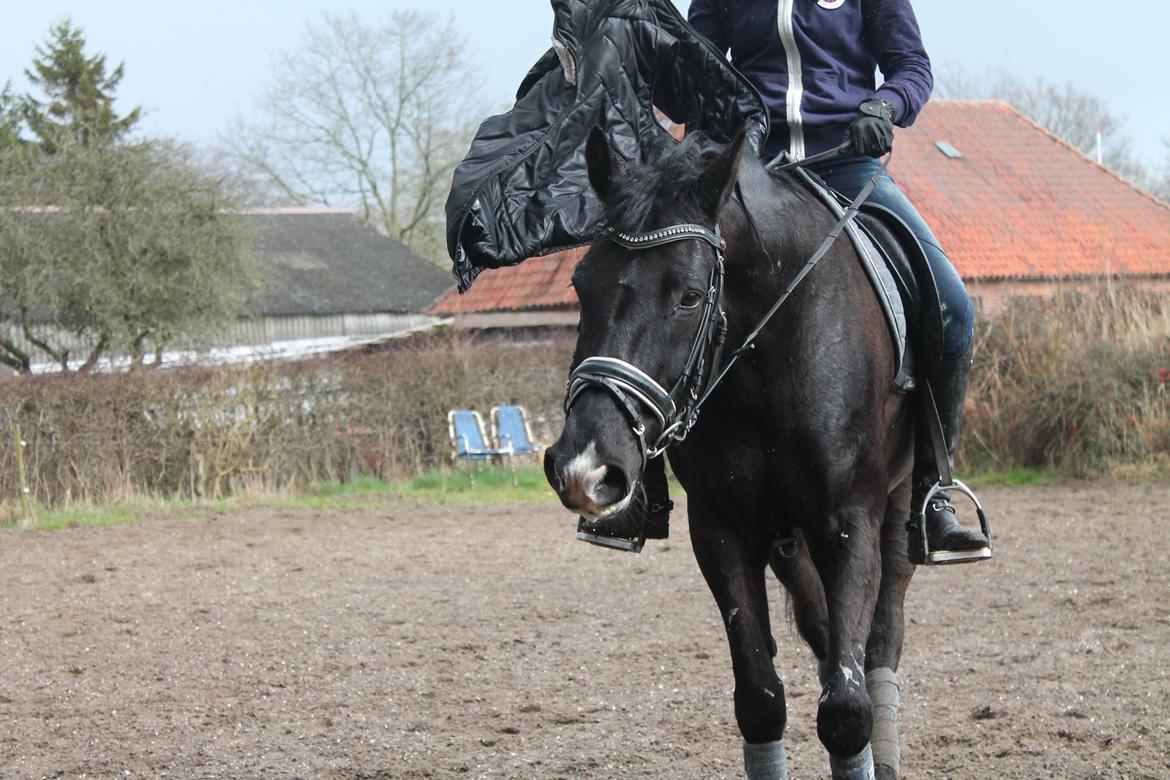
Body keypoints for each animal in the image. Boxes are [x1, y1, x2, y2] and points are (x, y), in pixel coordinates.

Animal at [543, 128, 918, 780]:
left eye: (690, 296)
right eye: (580, 285)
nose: (583, 466)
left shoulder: (849, 523)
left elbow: (846, 709)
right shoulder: (722, 529)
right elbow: (761, 701)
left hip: (894, 506)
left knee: (880, 637)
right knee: (822, 629)